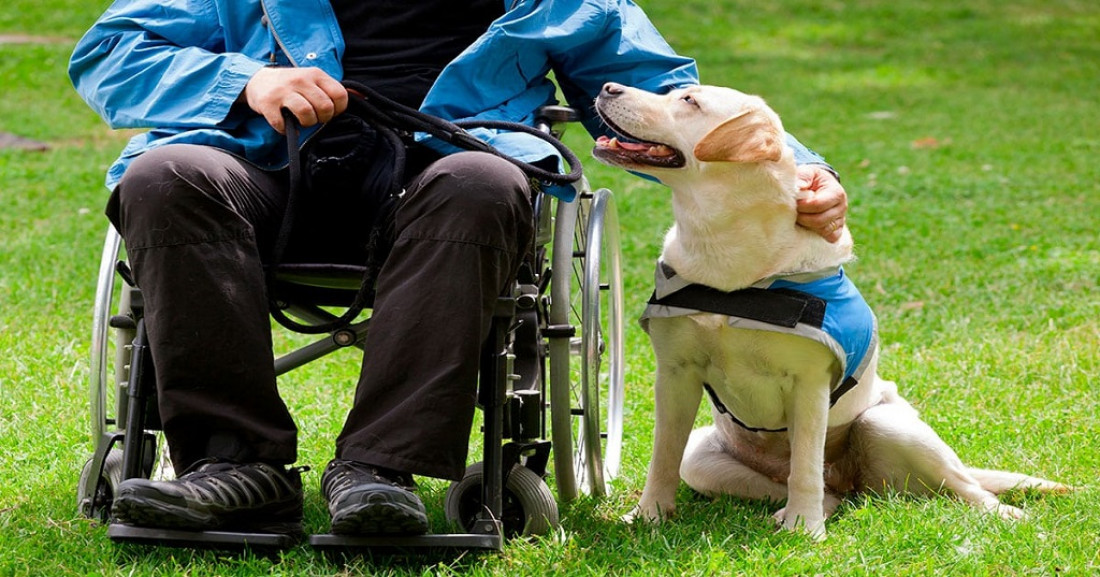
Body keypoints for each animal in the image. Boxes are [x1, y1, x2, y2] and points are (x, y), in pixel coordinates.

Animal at [594, 82, 1064, 538]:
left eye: (688, 99)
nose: (608, 87)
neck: (726, 253)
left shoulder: (809, 383)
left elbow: (805, 466)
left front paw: (805, 529)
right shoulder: (676, 373)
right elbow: (662, 457)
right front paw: (649, 516)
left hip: (888, 424)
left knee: (962, 486)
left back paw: (1005, 516)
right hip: (702, 457)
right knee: (824, 492)